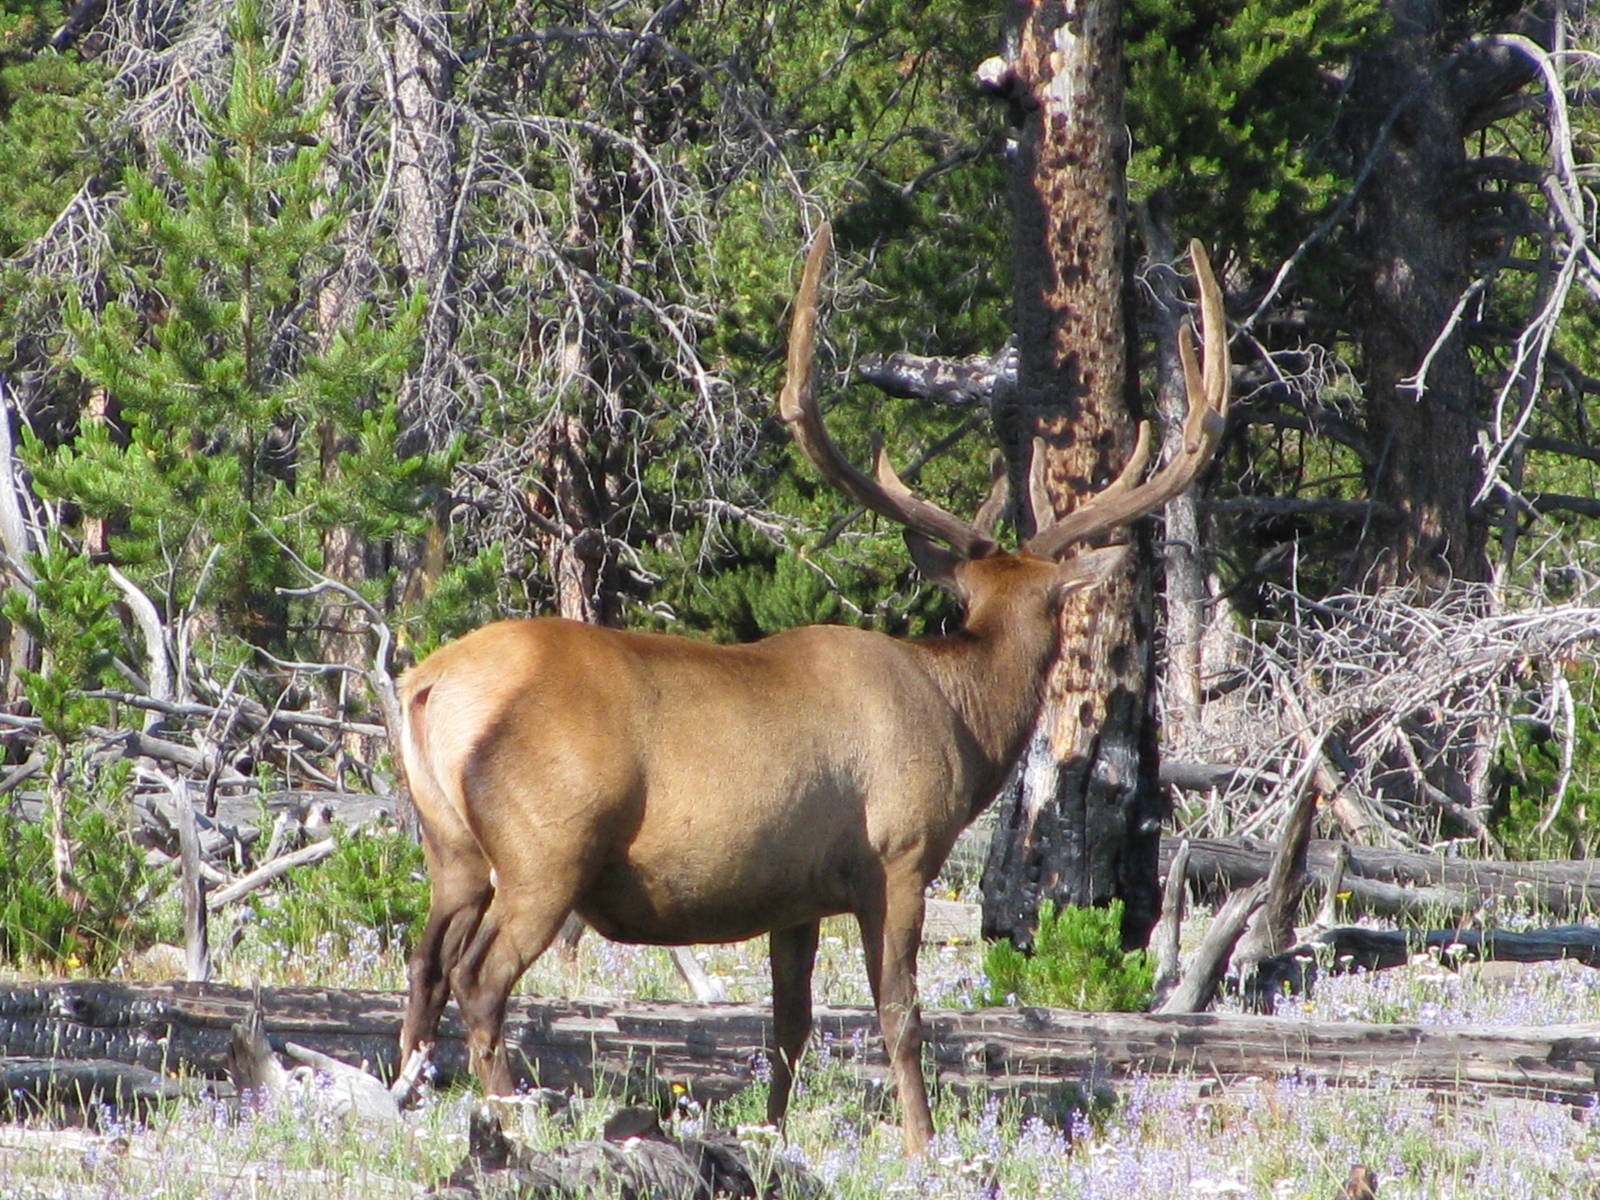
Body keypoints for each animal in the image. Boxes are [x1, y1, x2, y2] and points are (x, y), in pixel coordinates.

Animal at [393, 224, 1229, 1155]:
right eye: (1049, 603)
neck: (963, 718)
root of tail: (425, 684)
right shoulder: (898, 852)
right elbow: (900, 1012)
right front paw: (921, 1142)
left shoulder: (792, 892)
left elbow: (789, 1024)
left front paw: (771, 1131)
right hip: (547, 849)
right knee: (479, 975)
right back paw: (511, 1115)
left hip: (451, 848)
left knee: (423, 962)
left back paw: (409, 1101)